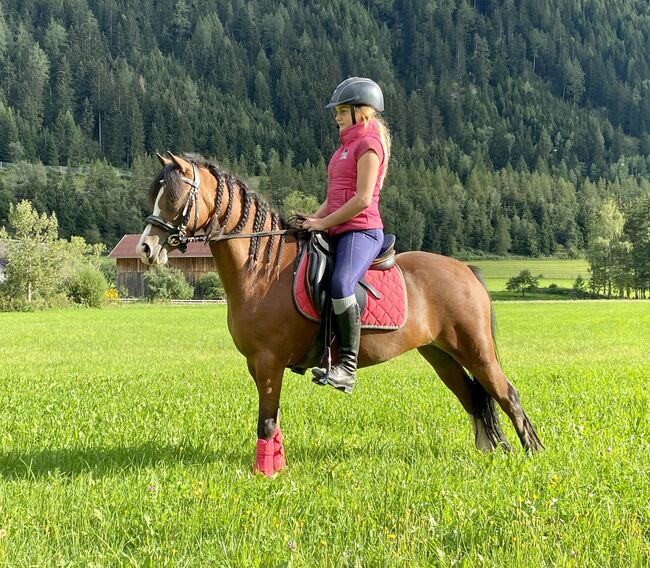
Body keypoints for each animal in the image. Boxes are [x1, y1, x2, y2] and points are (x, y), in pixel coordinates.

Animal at [137, 153, 540, 478]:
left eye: (173, 197)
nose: (146, 248)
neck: (265, 270)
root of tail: (465, 270)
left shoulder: (268, 361)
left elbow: (265, 422)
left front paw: (264, 474)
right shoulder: (259, 365)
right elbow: (274, 420)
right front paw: (278, 466)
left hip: (475, 349)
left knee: (507, 393)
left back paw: (533, 454)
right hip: (440, 354)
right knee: (473, 396)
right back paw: (493, 451)